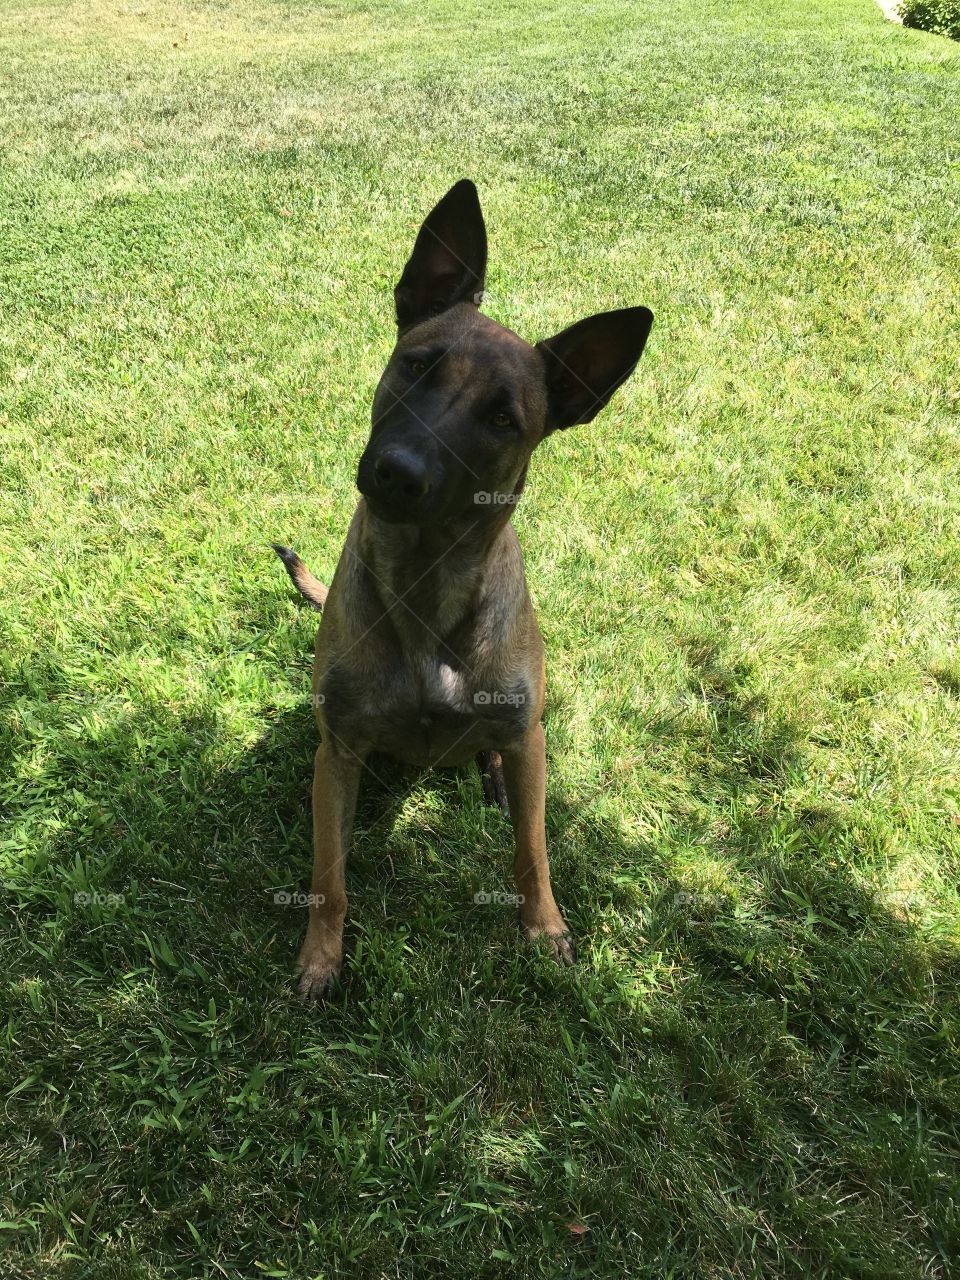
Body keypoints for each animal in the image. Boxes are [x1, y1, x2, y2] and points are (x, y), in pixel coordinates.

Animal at [273, 180, 660, 998]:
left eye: (503, 418)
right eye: (417, 366)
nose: (397, 473)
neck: (426, 587)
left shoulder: (525, 734)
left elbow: (533, 851)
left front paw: (545, 929)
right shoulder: (338, 752)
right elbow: (329, 875)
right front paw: (321, 958)